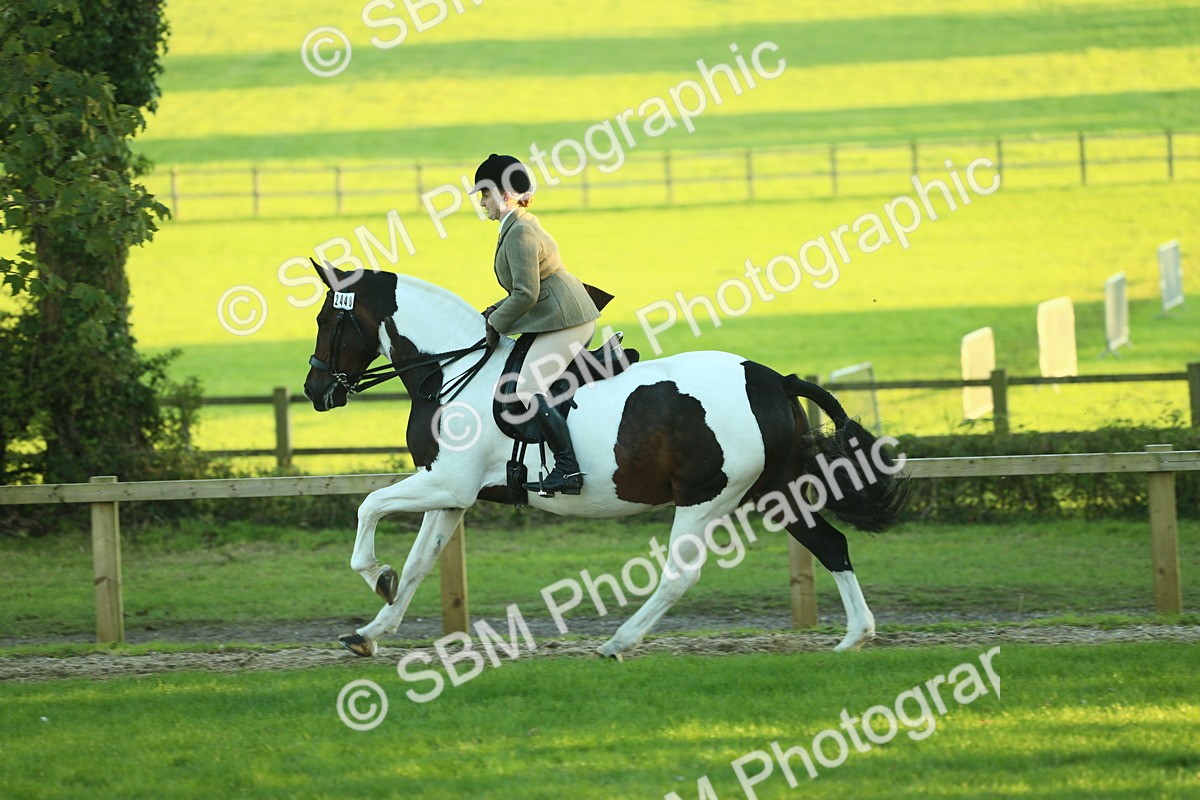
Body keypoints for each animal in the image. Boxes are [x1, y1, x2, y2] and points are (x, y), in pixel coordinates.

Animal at [302, 262, 910, 658]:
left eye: (327, 322)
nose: (315, 391)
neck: (453, 369)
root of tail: (773, 379)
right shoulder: (451, 495)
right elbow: (417, 565)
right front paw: (369, 632)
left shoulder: (446, 484)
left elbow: (369, 507)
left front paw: (374, 575)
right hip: (773, 491)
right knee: (831, 544)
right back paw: (855, 637)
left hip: (707, 498)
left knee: (680, 574)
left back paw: (620, 641)